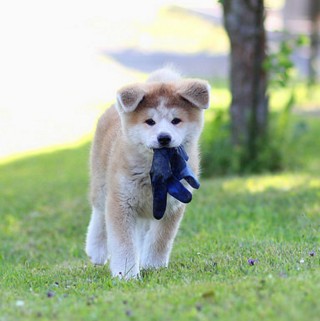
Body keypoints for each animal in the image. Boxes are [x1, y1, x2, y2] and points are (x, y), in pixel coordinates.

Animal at [85, 67, 210, 278]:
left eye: (176, 120)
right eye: (149, 122)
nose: (164, 137)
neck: (154, 171)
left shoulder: (173, 204)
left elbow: (160, 239)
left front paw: (153, 266)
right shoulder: (121, 201)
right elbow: (123, 244)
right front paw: (126, 275)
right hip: (101, 185)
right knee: (99, 215)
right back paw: (96, 250)